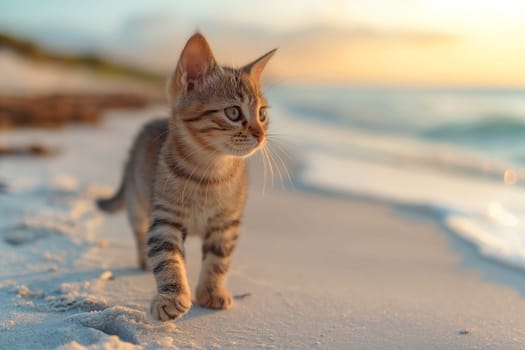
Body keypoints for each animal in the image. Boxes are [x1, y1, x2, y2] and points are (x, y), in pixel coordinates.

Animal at [95, 34, 274, 322]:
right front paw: (172, 296)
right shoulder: (165, 219)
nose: (260, 134)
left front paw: (212, 291)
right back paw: (143, 260)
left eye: (262, 115)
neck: (210, 173)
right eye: (234, 113)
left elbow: (218, 260)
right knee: (140, 232)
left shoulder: (226, 224)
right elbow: (168, 259)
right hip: (138, 202)